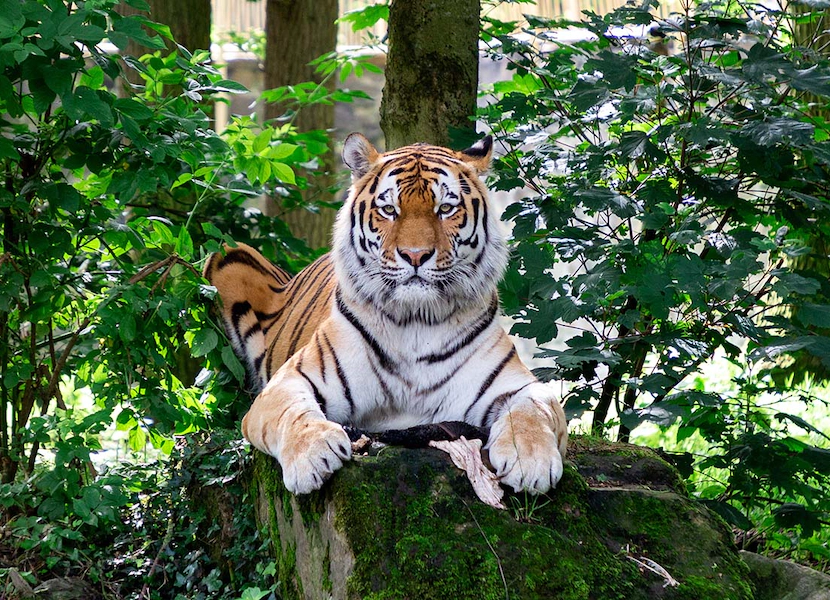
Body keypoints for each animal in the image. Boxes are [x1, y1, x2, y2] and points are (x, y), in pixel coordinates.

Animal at [206, 135, 572, 496]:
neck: (416, 321)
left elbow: (533, 410)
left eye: (445, 208)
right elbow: (294, 412)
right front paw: (313, 453)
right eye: (389, 209)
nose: (415, 255)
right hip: (226, 252)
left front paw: (531, 462)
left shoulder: (518, 386)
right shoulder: (288, 382)